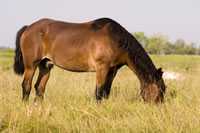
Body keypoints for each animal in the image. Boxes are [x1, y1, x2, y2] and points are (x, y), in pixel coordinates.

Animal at [13, 17, 166, 103]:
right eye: (159, 90)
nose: (159, 109)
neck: (115, 39)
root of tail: (28, 28)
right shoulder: (101, 68)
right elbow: (98, 92)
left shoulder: (112, 71)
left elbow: (105, 93)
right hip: (31, 66)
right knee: (26, 86)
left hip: (46, 66)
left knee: (39, 88)